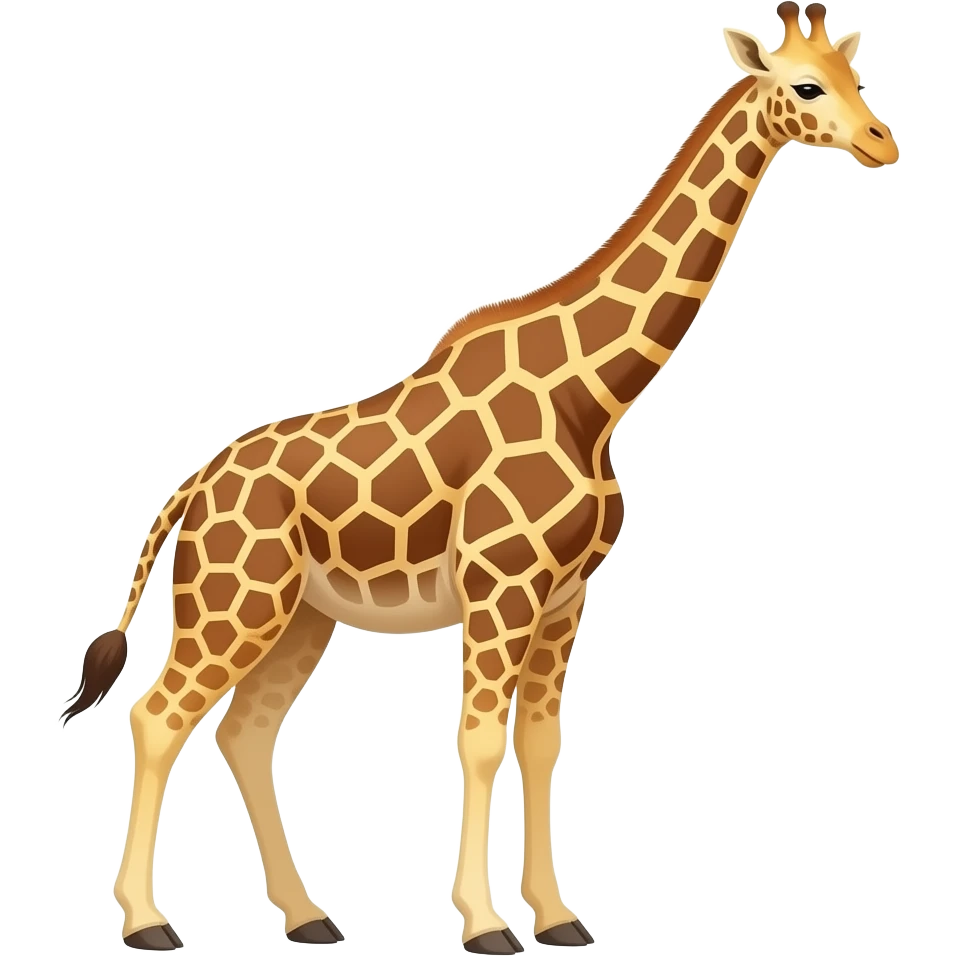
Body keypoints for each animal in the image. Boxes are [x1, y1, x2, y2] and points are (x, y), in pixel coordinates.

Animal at [59, 4, 898, 952]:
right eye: (806, 86)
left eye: (856, 75)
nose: (882, 142)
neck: (594, 397)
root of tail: (187, 492)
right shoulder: (502, 585)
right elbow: (481, 738)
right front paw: (486, 922)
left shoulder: (566, 594)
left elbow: (540, 741)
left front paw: (559, 917)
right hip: (235, 602)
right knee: (158, 716)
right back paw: (147, 921)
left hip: (302, 615)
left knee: (246, 730)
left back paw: (309, 916)